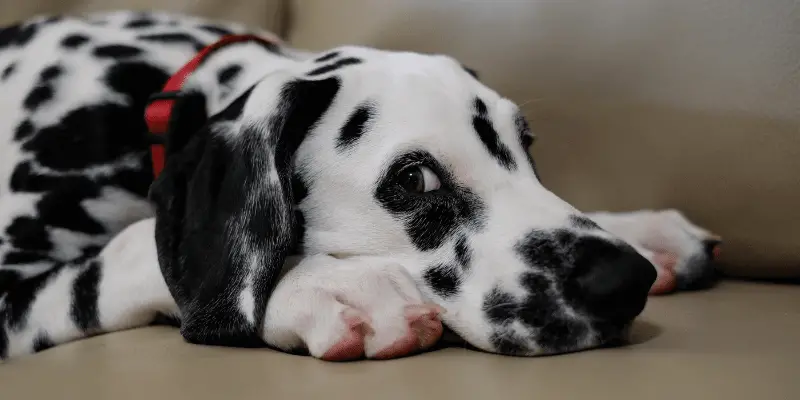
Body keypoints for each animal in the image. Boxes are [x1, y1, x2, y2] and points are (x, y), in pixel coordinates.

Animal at [0, 10, 720, 360]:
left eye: (526, 146)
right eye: (414, 178)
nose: (623, 280)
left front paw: (642, 229)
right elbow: (133, 250)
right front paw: (330, 288)